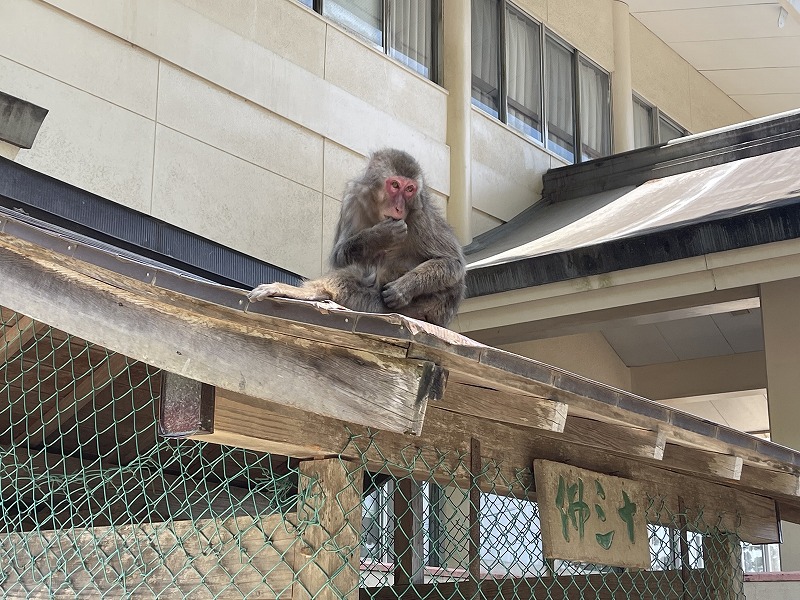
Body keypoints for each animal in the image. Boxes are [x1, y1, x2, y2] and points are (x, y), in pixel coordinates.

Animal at [247, 150, 466, 328]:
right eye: (395, 185)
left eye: (410, 189)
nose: (399, 208)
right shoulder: (353, 198)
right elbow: (339, 256)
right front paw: (380, 236)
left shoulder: (420, 214)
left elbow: (452, 262)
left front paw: (401, 289)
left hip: (425, 306)